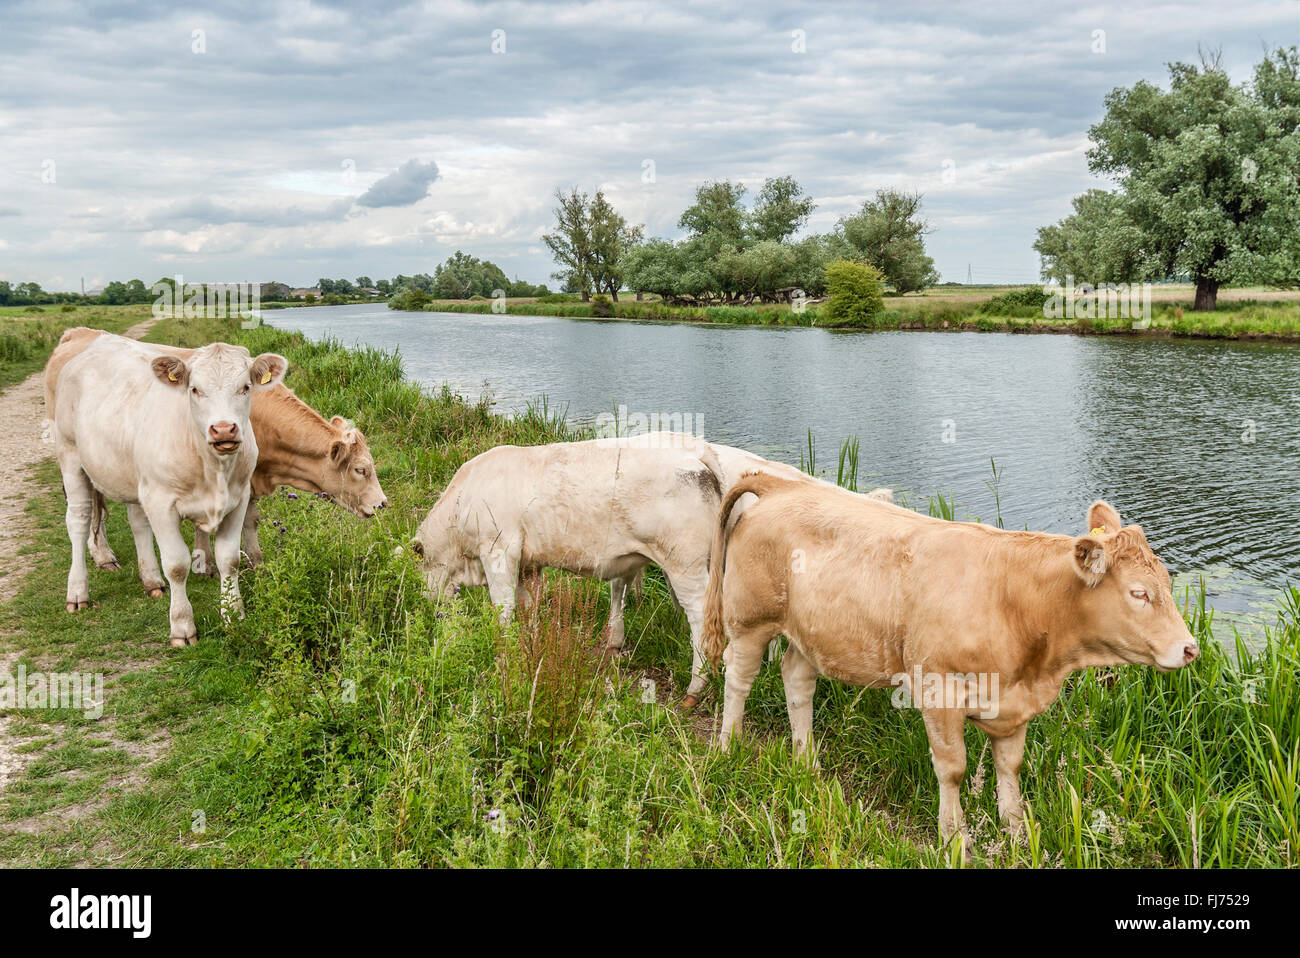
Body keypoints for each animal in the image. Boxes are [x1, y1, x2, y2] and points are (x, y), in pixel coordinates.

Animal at [47, 328, 390, 579]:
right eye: (361, 469)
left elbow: (242, 520)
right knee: (89, 506)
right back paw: (102, 555)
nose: (383, 504)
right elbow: (242, 522)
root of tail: (79, 334)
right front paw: (230, 562)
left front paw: (223, 561)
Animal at [53, 335, 287, 642]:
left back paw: (151, 580)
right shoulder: (162, 503)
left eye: (245, 387)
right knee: (79, 521)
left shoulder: (238, 500)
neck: (213, 468)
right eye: (195, 389)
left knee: (137, 523)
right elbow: (176, 565)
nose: (224, 429)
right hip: (70, 457)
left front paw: (234, 616)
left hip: (135, 478)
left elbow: (230, 560)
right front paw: (182, 626)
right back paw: (78, 592)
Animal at [707, 475, 1201, 857]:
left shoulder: (1013, 704)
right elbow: (953, 769)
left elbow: (1010, 768)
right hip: (749, 618)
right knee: (739, 678)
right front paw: (955, 839)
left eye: (1166, 581)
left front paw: (1017, 833)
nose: (1191, 649)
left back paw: (806, 761)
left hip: (811, 634)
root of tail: (782, 485)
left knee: (797, 680)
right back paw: (727, 746)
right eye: (1139, 593)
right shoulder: (938, 691)